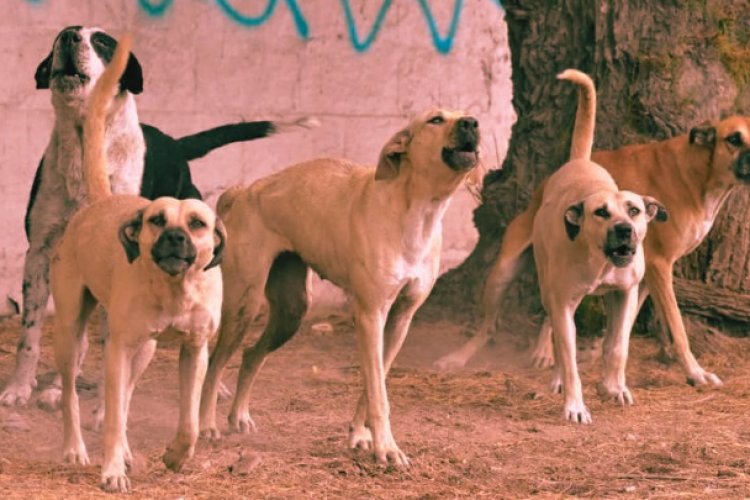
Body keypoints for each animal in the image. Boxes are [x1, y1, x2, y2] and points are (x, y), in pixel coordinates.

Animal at [0, 26, 318, 406]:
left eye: (102, 42)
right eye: (61, 35)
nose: (69, 38)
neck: (85, 146)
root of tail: (176, 145)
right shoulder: (40, 252)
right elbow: (30, 333)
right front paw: (20, 386)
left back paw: (214, 385)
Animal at [50, 34, 225, 492]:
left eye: (197, 223)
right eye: (156, 219)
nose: (175, 237)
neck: (173, 288)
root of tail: (100, 201)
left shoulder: (195, 351)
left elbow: (190, 421)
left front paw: (177, 455)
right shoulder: (117, 350)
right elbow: (110, 417)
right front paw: (111, 470)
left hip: (143, 351)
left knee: (125, 400)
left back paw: (128, 452)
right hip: (72, 334)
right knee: (74, 397)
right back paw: (74, 449)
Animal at [198, 107, 482, 466]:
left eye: (467, 115)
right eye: (435, 120)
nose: (473, 123)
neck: (416, 212)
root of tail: (244, 191)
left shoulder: (400, 320)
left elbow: (372, 387)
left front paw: (361, 436)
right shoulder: (371, 315)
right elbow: (378, 394)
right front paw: (387, 447)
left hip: (291, 313)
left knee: (250, 355)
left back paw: (239, 416)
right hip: (242, 306)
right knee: (214, 364)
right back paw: (206, 424)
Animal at [434, 88, 750, 388]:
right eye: (734, 139)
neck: (699, 171)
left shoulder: (641, 277)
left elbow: (624, 326)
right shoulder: (661, 266)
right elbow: (677, 327)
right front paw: (695, 373)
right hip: (503, 272)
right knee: (490, 325)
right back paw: (464, 356)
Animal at [532, 70, 668, 422]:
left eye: (634, 210)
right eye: (601, 212)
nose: (623, 230)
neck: (599, 262)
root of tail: (580, 162)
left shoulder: (626, 292)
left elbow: (618, 346)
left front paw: (613, 388)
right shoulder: (563, 303)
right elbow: (568, 358)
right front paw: (575, 405)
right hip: (549, 288)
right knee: (557, 336)